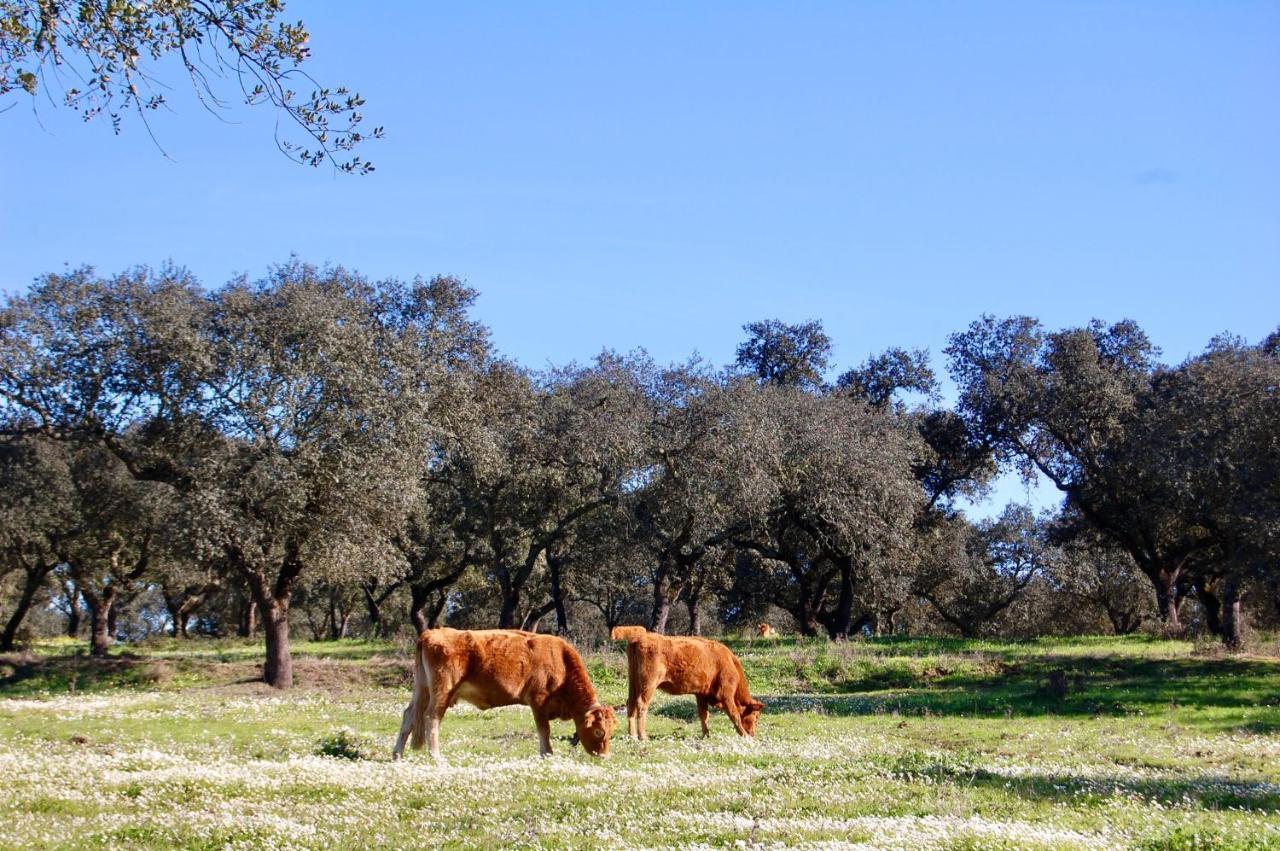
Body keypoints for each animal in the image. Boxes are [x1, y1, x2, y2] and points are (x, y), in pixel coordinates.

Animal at [391, 627, 616, 757]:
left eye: (611, 731)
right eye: (599, 731)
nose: (603, 756)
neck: (560, 660)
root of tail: (431, 633)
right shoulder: (538, 701)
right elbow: (544, 730)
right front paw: (547, 754)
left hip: (422, 688)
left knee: (409, 715)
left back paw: (397, 755)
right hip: (441, 692)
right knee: (431, 717)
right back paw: (436, 757)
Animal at [627, 634, 762, 742]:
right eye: (756, 716)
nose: (753, 734)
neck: (730, 662)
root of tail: (639, 639)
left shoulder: (701, 694)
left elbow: (704, 715)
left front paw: (706, 735)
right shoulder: (726, 694)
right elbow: (735, 715)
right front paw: (744, 735)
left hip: (634, 684)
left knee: (631, 704)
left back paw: (632, 735)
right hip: (649, 684)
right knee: (642, 704)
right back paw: (642, 736)